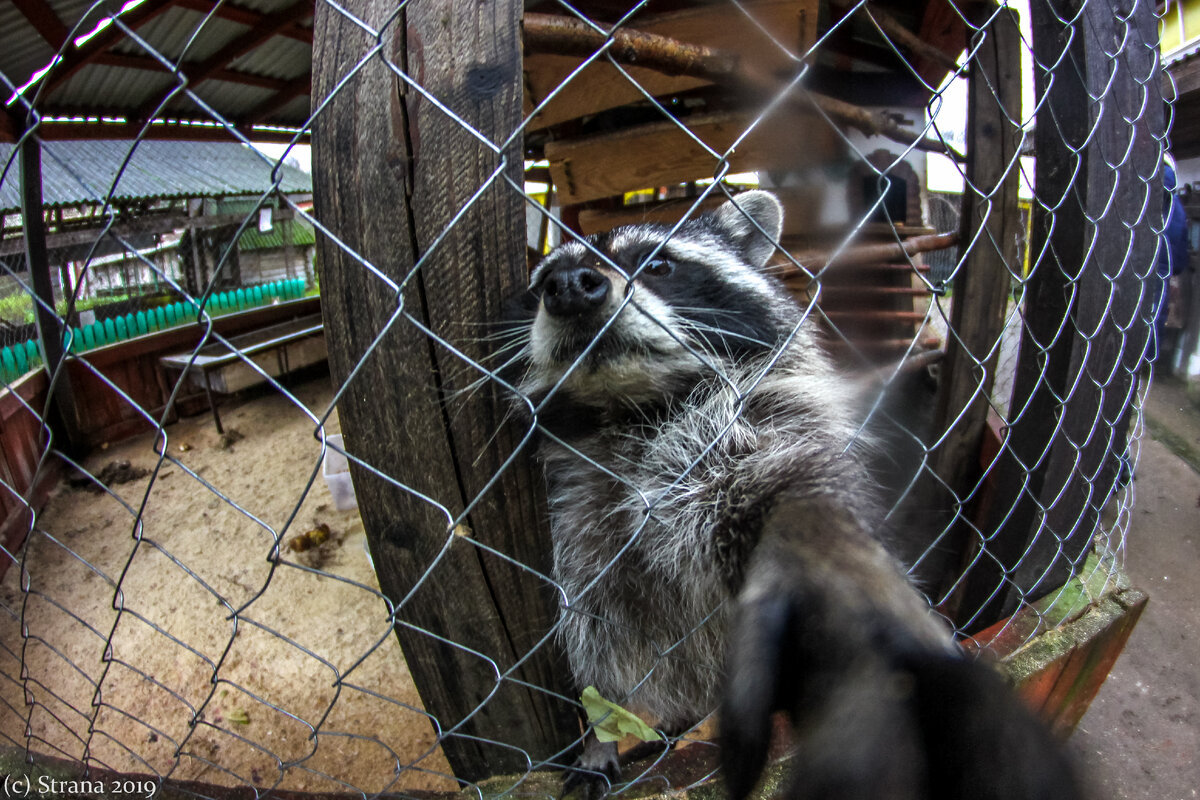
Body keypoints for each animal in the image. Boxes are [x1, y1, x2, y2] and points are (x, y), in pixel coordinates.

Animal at [504, 191, 1080, 800]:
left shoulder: (768, 414)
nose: (569, 285)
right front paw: (600, 727)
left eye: (658, 264)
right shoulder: (576, 504)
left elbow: (786, 488)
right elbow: (592, 644)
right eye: (540, 282)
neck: (630, 405)